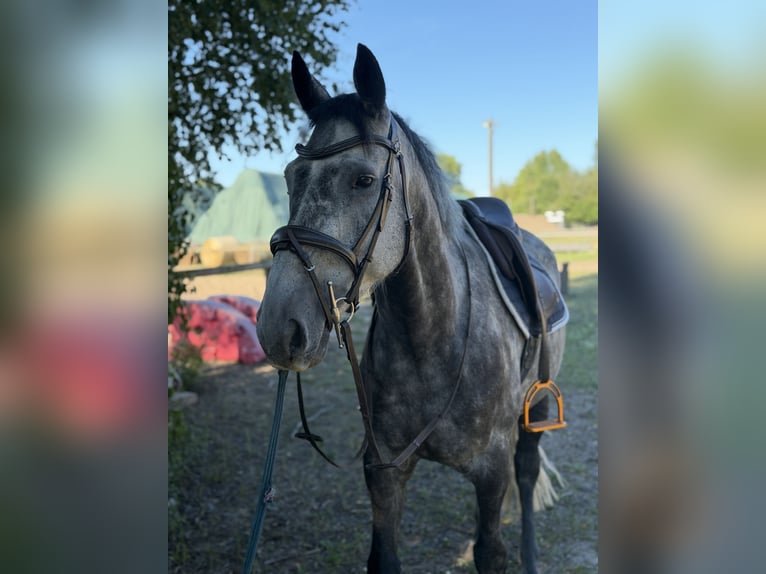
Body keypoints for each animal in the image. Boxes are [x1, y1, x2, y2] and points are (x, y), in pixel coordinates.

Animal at [255, 44, 566, 574]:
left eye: (363, 180)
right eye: (291, 178)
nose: (279, 328)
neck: (433, 336)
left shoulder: (491, 471)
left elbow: (491, 548)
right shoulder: (384, 472)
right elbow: (384, 556)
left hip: (537, 405)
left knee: (526, 474)